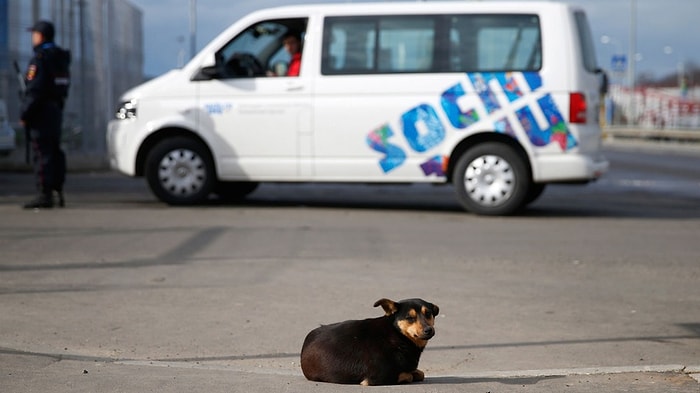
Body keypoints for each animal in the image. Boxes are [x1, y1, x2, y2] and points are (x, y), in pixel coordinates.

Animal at [300, 298, 438, 386]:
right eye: (410, 317)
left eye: (428, 314)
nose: (428, 330)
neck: (396, 334)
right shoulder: (378, 377)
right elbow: (408, 375)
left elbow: (420, 373)